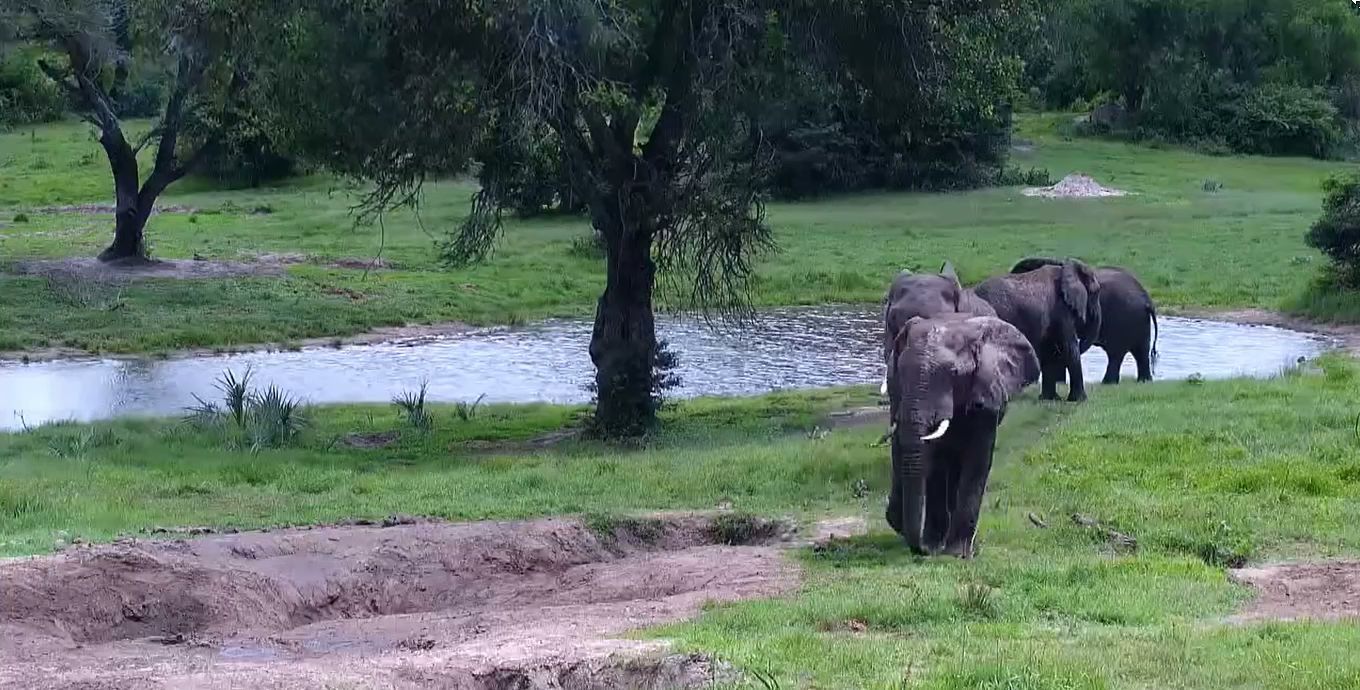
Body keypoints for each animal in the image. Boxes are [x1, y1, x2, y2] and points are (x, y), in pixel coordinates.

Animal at [881, 313, 1039, 555]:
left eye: (955, 374)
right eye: (901, 371)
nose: (922, 549)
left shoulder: (987, 394)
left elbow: (977, 462)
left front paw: (957, 554)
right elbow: (936, 464)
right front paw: (935, 546)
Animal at [973, 258, 1098, 402]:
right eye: (1096, 291)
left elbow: (1050, 349)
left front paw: (1050, 399)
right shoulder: (1062, 309)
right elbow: (1070, 348)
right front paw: (1079, 400)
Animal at [1011, 257, 1158, 383]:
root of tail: (1147, 298)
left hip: (1124, 318)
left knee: (1116, 354)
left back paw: (1107, 383)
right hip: (1139, 320)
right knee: (1141, 352)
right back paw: (1144, 381)